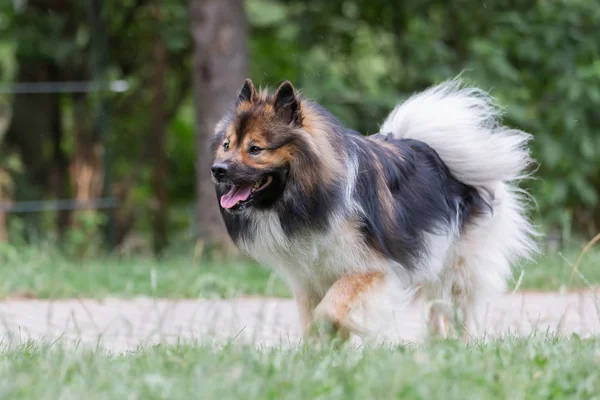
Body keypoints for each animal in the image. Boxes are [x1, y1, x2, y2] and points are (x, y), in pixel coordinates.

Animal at [212, 79, 540, 344]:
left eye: (255, 149)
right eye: (227, 145)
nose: (217, 169)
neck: (310, 195)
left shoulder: (369, 269)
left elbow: (329, 311)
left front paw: (334, 337)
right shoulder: (309, 278)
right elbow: (313, 321)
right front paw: (319, 354)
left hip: (459, 264)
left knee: (462, 308)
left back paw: (462, 345)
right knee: (437, 311)